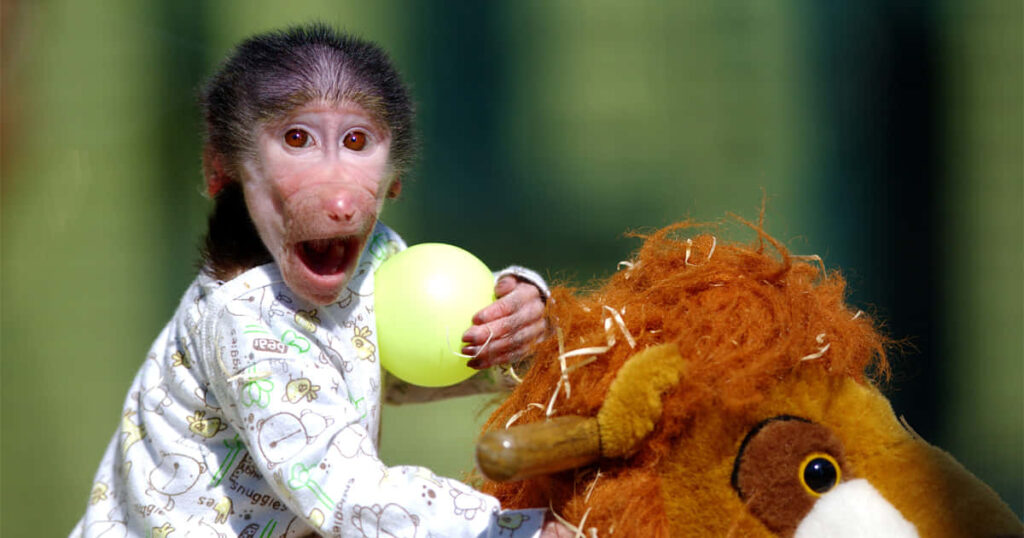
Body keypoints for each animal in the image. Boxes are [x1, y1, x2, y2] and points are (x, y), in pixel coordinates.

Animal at [71, 24, 567, 538]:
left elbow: (405, 384)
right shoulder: (254, 343)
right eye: (297, 139)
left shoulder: (382, 242)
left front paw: (521, 314)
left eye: (354, 141)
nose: (341, 201)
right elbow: (335, 468)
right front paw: (536, 526)